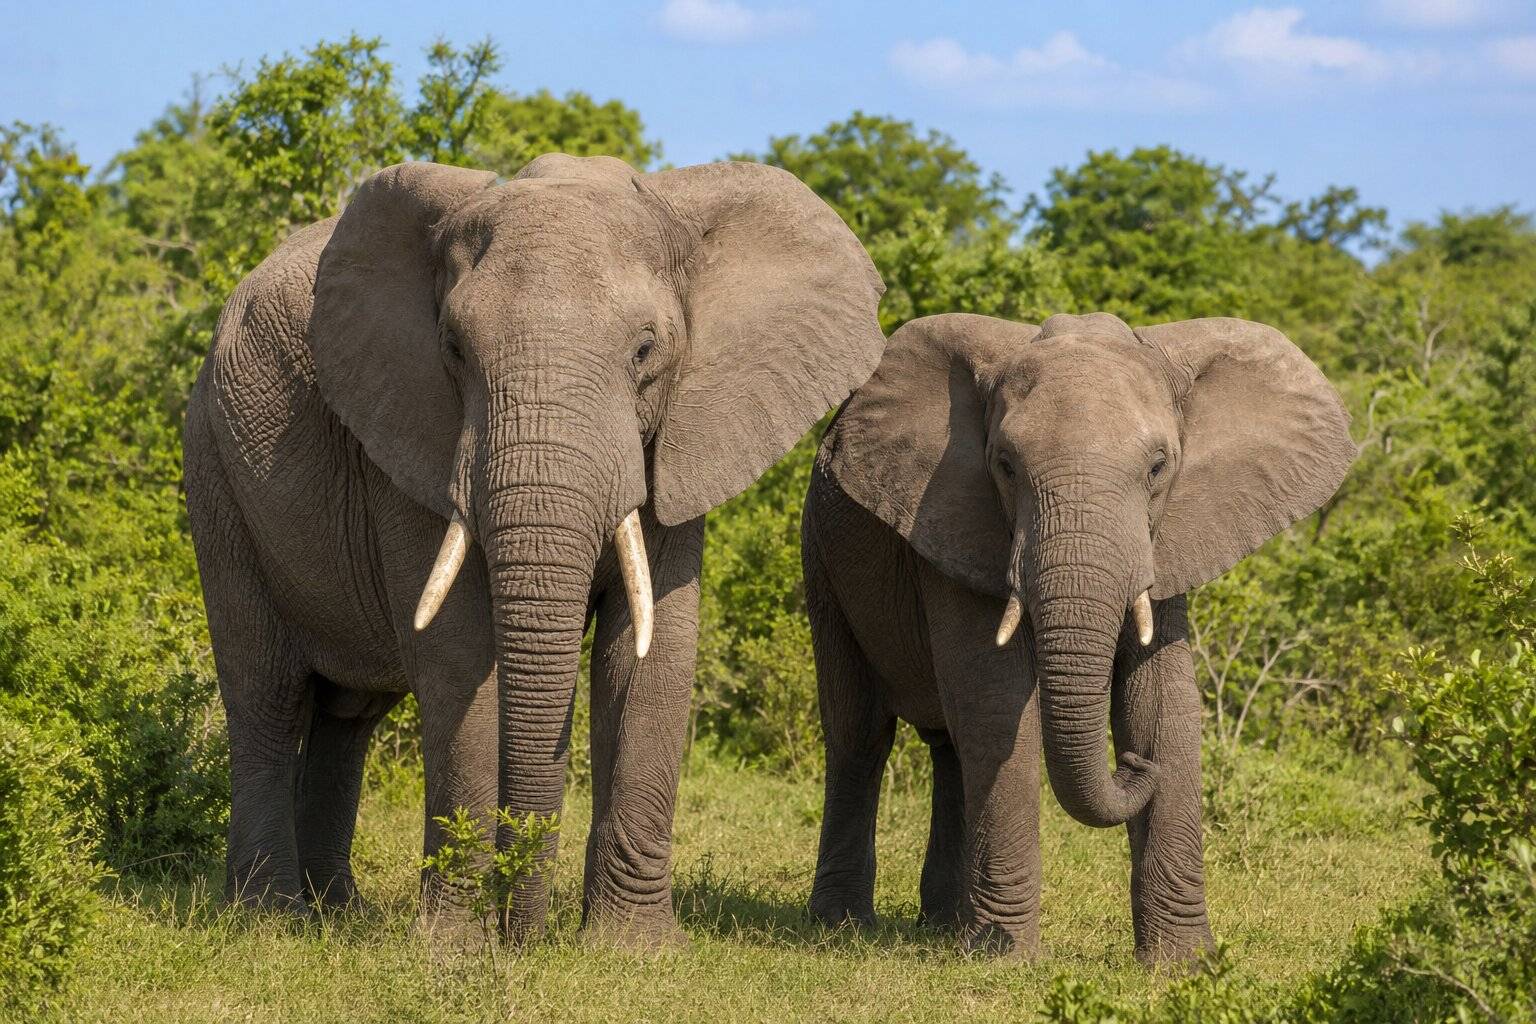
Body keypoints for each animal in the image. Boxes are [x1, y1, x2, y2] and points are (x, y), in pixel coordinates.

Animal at [181, 152, 885, 945]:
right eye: (454, 350)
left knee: (348, 715)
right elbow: (458, 656)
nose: (525, 934)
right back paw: (268, 919)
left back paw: (337, 911)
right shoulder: (409, 434)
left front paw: (632, 950)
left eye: (646, 351)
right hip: (215, 469)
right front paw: (455, 948)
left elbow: (652, 653)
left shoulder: (679, 435)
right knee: (265, 695)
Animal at [800, 311, 1354, 962]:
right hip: (820, 555)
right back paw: (843, 926)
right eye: (1005, 465)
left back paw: (943, 929)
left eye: (1158, 467)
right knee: (860, 733)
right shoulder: (952, 517)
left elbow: (1162, 702)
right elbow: (995, 705)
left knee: (949, 749)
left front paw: (1184, 966)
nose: (1133, 766)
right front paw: (1005, 960)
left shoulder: (1166, 537)